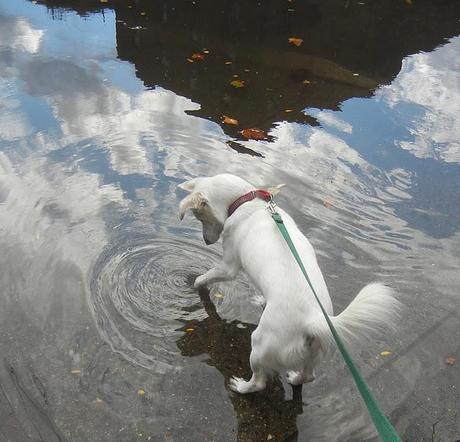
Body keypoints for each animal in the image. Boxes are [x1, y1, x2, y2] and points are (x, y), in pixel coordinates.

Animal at [179, 173, 398, 394]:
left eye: (199, 217)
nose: (207, 242)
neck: (246, 200)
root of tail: (314, 320)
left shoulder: (228, 267)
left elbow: (206, 276)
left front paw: (195, 284)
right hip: (311, 353)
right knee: (309, 376)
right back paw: (295, 378)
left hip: (259, 343)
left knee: (259, 382)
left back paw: (241, 386)